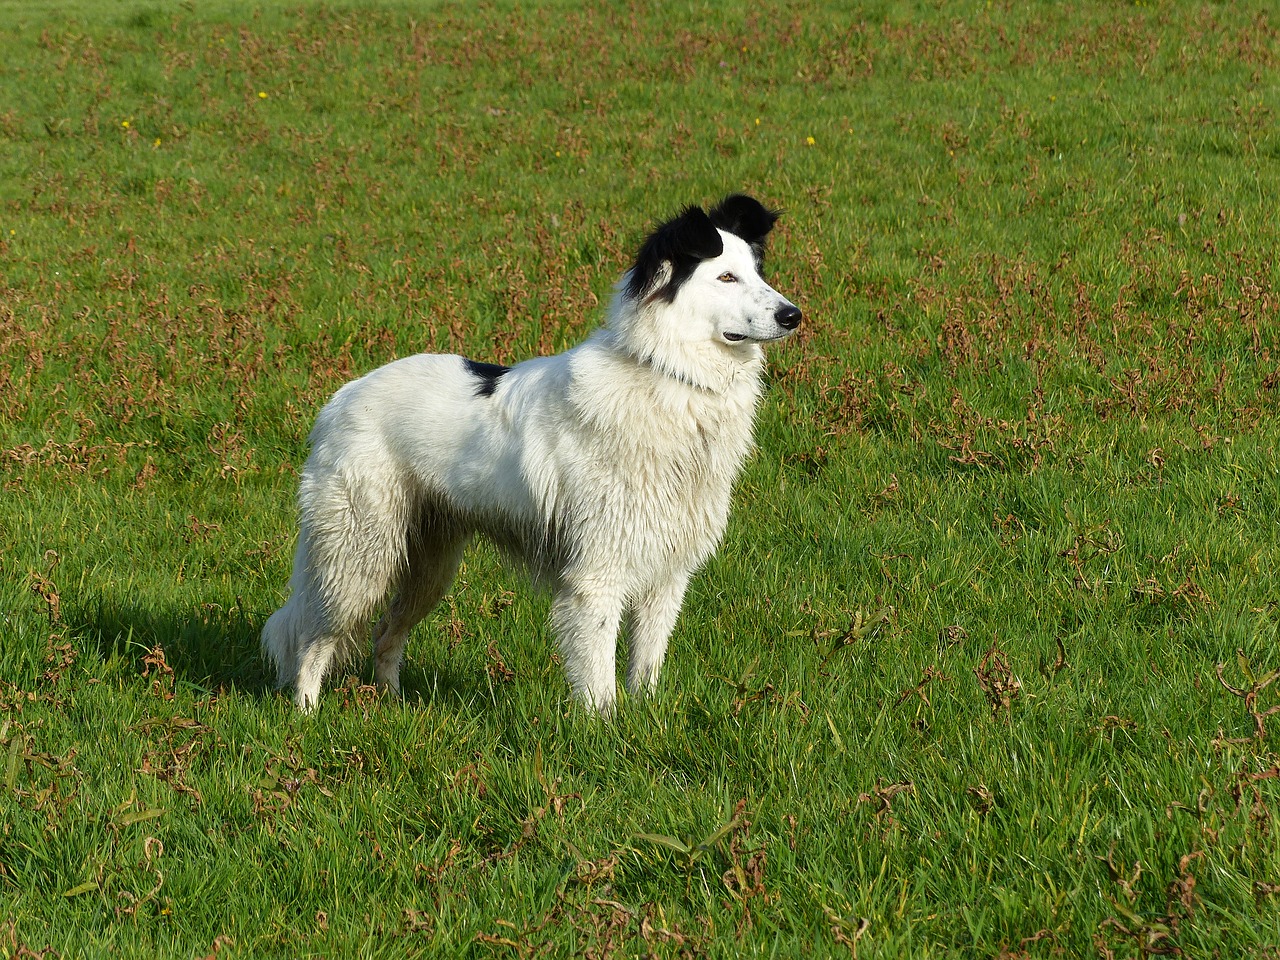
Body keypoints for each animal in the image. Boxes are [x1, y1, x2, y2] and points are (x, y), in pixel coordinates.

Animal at [259, 193, 798, 716]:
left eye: (758, 272)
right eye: (725, 277)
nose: (793, 316)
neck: (667, 372)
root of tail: (341, 399)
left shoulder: (666, 575)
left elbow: (645, 667)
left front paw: (647, 721)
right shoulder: (596, 576)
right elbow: (599, 676)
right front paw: (605, 730)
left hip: (428, 566)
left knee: (384, 636)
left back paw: (393, 706)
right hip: (359, 557)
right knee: (313, 640)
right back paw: (306, 714)